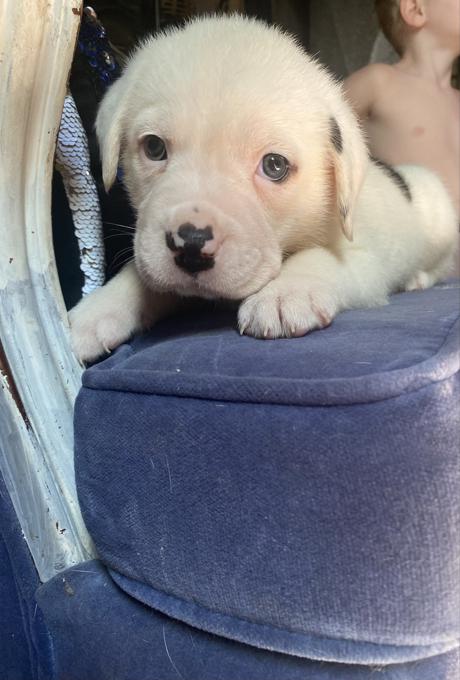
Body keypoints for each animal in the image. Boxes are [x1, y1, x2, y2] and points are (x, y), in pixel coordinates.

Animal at [70, 14, 458, 362]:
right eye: (153, 147)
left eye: (274, 166)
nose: (191, 243)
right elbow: (140, 273)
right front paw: (97, 311)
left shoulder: (364, 259)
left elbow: (319, 257)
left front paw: (285, 293)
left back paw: (418, 278)